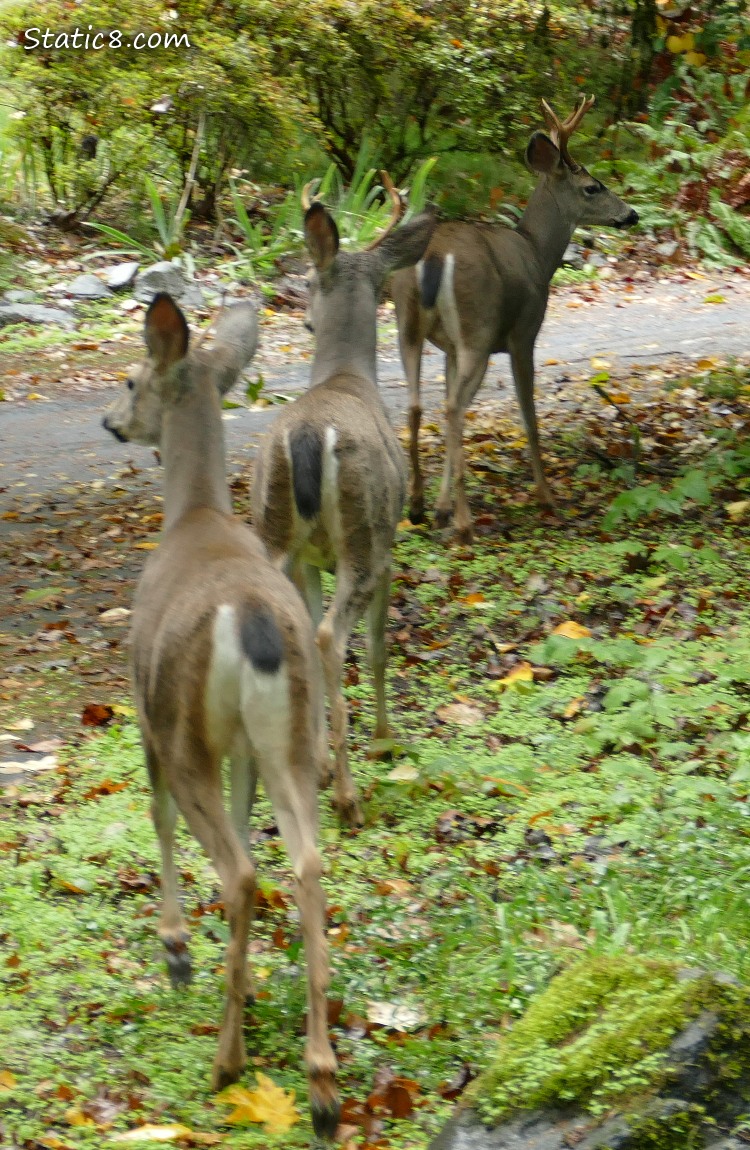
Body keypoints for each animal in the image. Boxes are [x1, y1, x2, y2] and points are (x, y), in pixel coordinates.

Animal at [101, 292, 340, 1136]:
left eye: (131, 377)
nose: (110, 421)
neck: (196, 514)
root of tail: (254, 622)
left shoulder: (145, 712)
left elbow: (155, 814)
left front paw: (175, 948)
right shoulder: (240, 745)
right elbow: (245, 821)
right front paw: (246, 977)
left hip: (183, 731)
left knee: (239, 869)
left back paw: (228, 1060)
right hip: (290, 732)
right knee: (305, 861)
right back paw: (321, 1082)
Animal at [251, 174, 437, 828]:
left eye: (307, 280)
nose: (301, 312)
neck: (347, 378)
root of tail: (308, 438)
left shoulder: (309, 560)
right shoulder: (389, 548)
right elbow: (379, 649)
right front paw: (384, 738)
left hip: (273, 529)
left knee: (294, 637)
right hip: (363, 531)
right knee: (332, 638)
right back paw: (349, 795)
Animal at [388, 92, 639, 540]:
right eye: (592, 187)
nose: (631, 214)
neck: (538, 252)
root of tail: (431, 259)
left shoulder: (450, 349)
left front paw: (440, 509)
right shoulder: (524, 334)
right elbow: (529, 416)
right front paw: (547, 498)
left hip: (410, 325)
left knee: (419, 406)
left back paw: (418, 508)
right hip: (479, 327)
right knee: (453, 408)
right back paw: (465, 524)